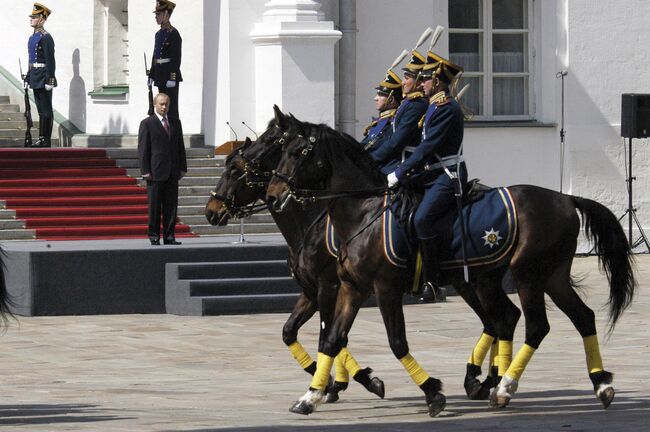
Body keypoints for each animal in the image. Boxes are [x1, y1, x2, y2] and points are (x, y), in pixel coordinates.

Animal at [204, 109, 384, 404]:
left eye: (234, 170)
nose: (211, 210)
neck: (309, 224)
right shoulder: (310, 291)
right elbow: (291, 332)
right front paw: (333, 382)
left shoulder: (329, 288)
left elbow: (328, 338)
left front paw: (330, 385)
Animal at [264, 117, 632, 416]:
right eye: (280, 151)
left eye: (297, 152)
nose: (272, 194)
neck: (364, 212)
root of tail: (565, 198)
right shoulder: (351, 288)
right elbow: (332, 339)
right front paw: (311, 396)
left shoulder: (383, 288)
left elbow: (396, 342)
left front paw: (432, 393)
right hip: (543, 277)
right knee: (575, 317)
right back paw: (599, 384)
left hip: (527, 275)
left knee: (534, 326)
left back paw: (503, 387)